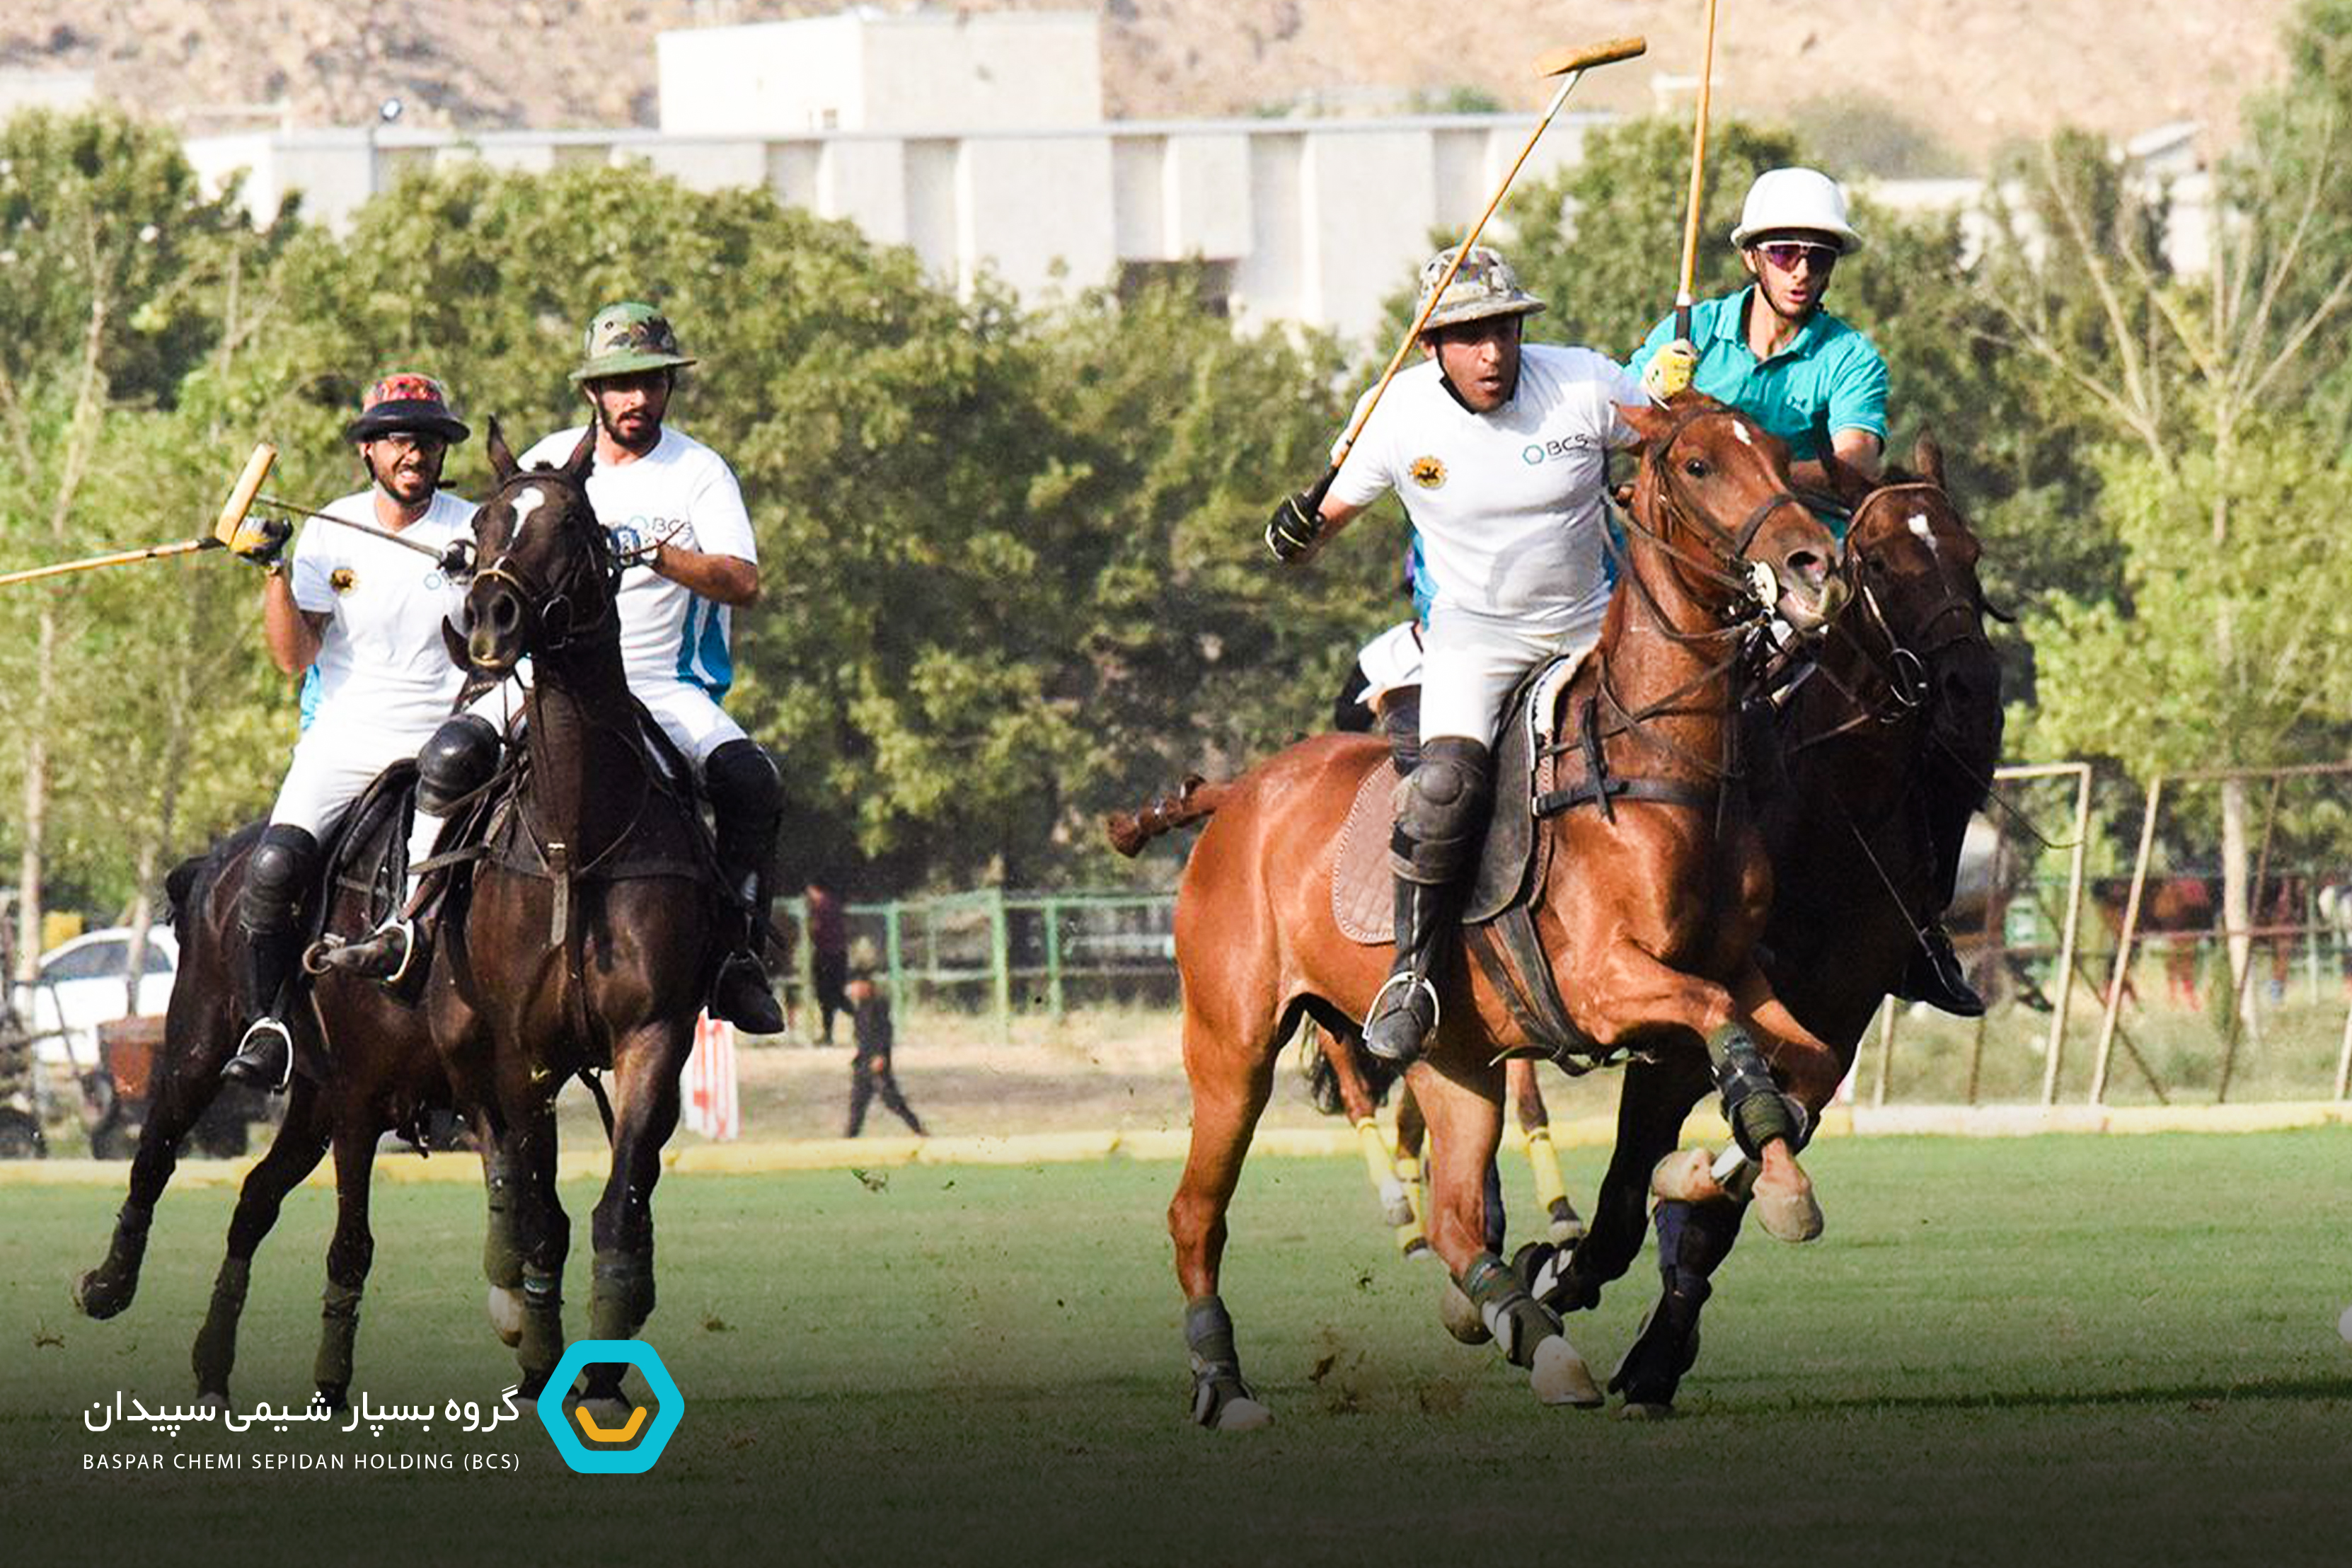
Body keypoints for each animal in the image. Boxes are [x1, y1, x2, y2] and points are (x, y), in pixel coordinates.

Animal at [73, 778, 466, 1411]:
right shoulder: (361, 1099)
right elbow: (353, 1242)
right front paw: (331, 1382)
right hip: (201, 1046)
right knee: (155, 1151)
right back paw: (109, 1285)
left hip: (313, 1101)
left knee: (256, 1195)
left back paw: (212, 1367)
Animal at [430, 422, 725, 1405]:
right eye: (478, 525)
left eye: (570, 523)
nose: (489, 618)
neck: (576, 838)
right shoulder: (521, 1049)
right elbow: (538, 1208)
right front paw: (539, 1346)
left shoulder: (655, 1033)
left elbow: (618, 1203)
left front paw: (600, 1362)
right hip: (463, 1037)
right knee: (501, 1167)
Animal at [1108, 393, 1848, 1429]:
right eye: (1699, 465)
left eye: (1781, 452)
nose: (1815, 568)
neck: (1659, 761)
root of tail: (1238, 791)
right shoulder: (1604, 983)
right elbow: (1723, 1028)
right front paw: (1733, 1176)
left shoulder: (1735, 966)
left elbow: (1802, 1065)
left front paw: (1722, 1172)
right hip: (1229, 1042)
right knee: (1196, 1211)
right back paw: (1223, 1383)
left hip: (1454, 1062)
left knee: (1459, 1223)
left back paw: (1536, 1341)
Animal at [1542, 435, 2005, 1416]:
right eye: (1879, 564)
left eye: (1972, 553)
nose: (1972, 691)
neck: (1836, 808)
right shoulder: (1679, 1014)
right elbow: (1630, 1178)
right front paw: (1568, 1273)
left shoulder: (1837, 1013)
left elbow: (1736, 1180)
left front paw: (1657, 1352)